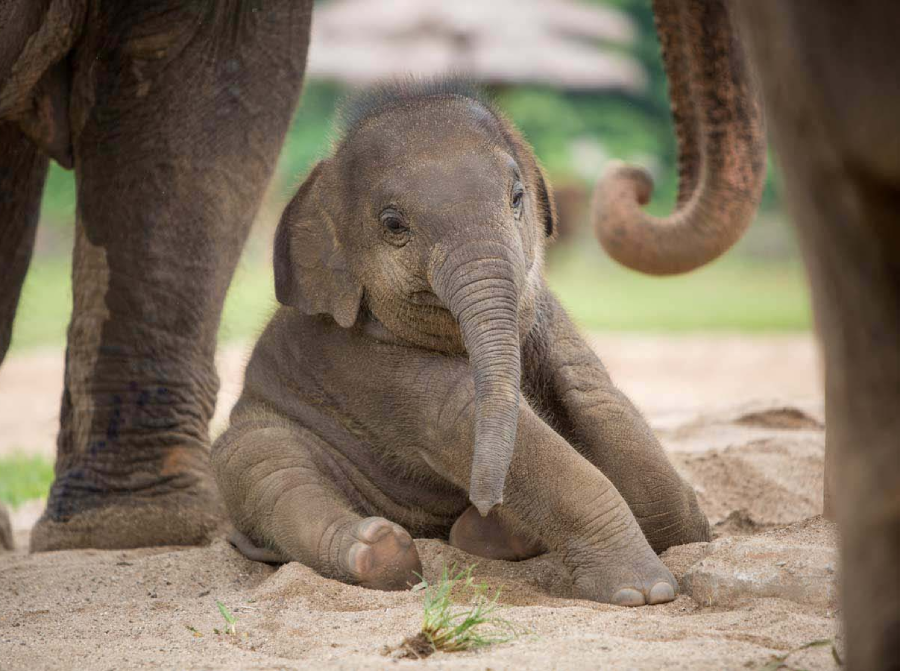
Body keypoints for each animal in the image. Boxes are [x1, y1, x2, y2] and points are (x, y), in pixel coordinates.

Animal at [210, 80, 710, 606]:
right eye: (393, 224)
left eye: (517, 197)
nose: (486, 499)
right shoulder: (371, 371)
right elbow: (470, 420)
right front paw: (646, 592)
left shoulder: (546, 314)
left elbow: (596, 396)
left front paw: (686, 541)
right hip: (253, 442)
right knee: (272, 474)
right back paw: (379, 550)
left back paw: (492, 537)